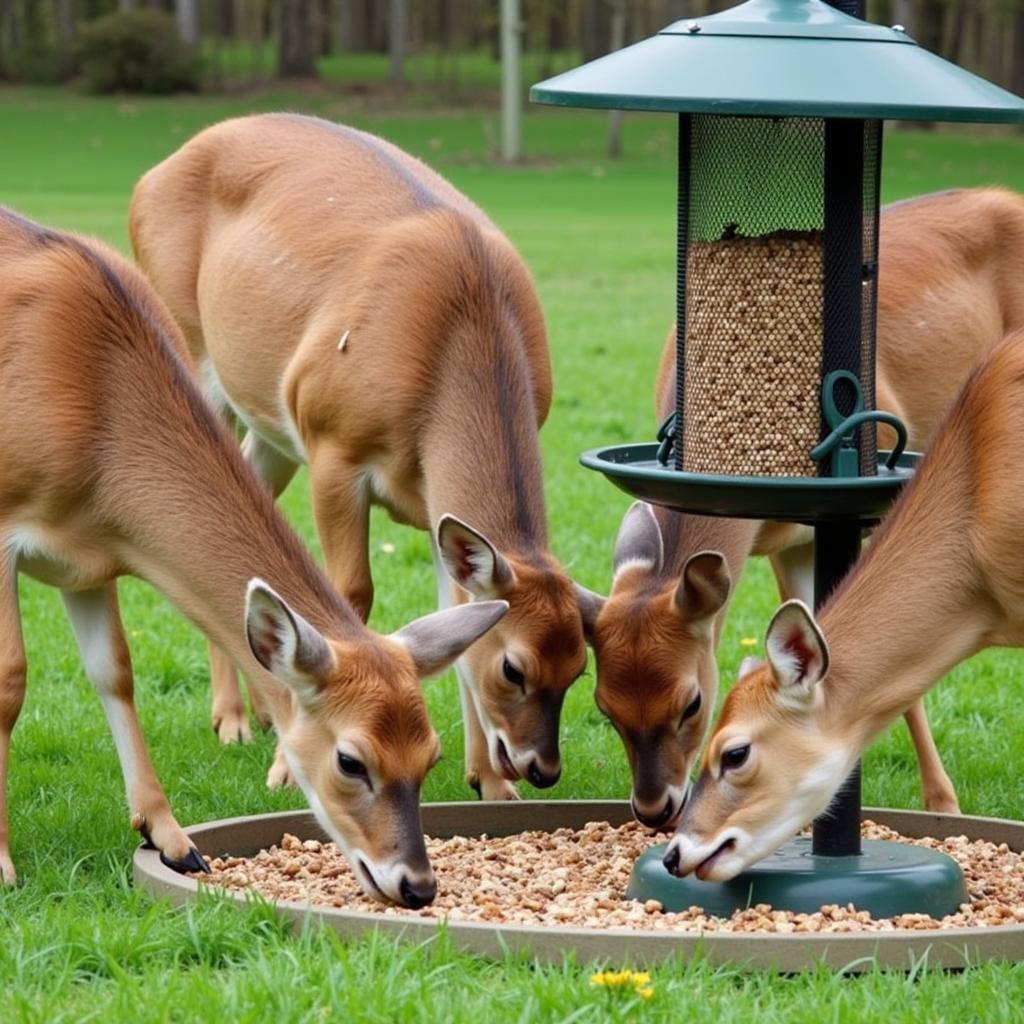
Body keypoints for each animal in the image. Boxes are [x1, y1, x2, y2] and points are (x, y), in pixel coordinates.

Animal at [0, 203, 509, 909]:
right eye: (351, 760)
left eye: (431, 755)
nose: (415, 885)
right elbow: (10, 680)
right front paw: (3, 865)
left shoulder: (86, 559)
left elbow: (114, 672)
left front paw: (172, 839)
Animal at [130, 112, 593, 798]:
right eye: (514, 667)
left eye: (581, 667)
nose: (540, 768)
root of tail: (152, 174)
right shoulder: (333, 445)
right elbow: (349, 595)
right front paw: (288, 770)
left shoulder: (433, 506)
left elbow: (455, 612)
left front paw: (488, 782)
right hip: (193, 352)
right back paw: (233, 721)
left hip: (270, 428)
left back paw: (261, 713)